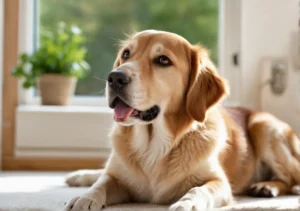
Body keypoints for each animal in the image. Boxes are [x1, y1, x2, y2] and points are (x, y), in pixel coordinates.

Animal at [63, 30, 300, 211]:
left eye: (163, 60)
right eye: (126, 54)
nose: (115, 77)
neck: (154, 145)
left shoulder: (220, 183)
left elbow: (199, 190)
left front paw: (187, 203)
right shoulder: (117, 179)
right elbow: (102, 183)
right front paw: (84, 197)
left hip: (264, 126)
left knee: (291, 180)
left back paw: (267, 187)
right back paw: (79, 176)